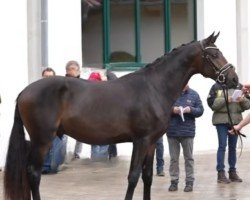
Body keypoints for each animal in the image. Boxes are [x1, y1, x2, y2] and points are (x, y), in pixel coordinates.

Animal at [3, 32, 238, 200]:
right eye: (214, 54)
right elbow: (133, 176)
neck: (154, 87)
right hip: (42, 140)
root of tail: (24, 91)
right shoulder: (140, 140)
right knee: (33, 174)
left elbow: (147, 177)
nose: (234, 79)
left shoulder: (151, 142)